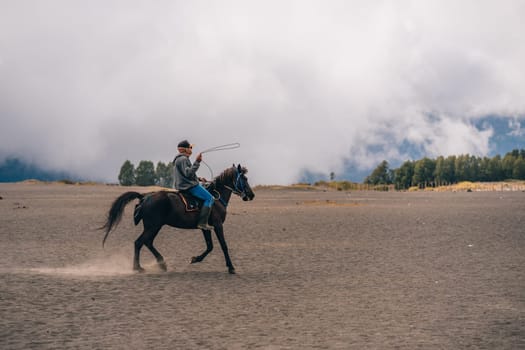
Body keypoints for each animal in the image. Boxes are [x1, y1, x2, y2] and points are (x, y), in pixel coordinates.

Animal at [100, 164, 254, 274]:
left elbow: (210, 246)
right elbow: (223, 245)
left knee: (148, 242)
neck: (216, 198)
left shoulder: (205, 228)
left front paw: (195, 259)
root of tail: (145, 196)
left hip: (154, 226)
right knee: (139, 242)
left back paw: (162, 264)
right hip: (153, 226)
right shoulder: (217, 225)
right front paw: (231, 267)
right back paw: (138, 267)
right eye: (244, 179)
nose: (251, 195)